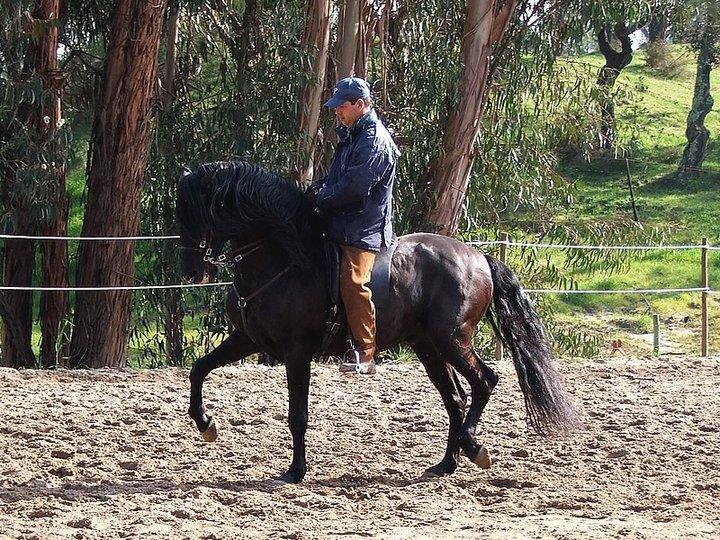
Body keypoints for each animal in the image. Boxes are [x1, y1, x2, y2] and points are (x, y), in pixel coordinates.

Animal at [179, 161, 580, 486]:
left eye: (198, 212)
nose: (191, 272)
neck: (283, 258)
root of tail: (478, 256)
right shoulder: (246, 338)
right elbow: (199, 369)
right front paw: (205, 424)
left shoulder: (297, 352)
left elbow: (297, 415)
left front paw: (295, 471)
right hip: (428, 347)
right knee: (455, 398)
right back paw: (446, 464)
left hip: (452, 340)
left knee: (484, 382)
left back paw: (472, 447)